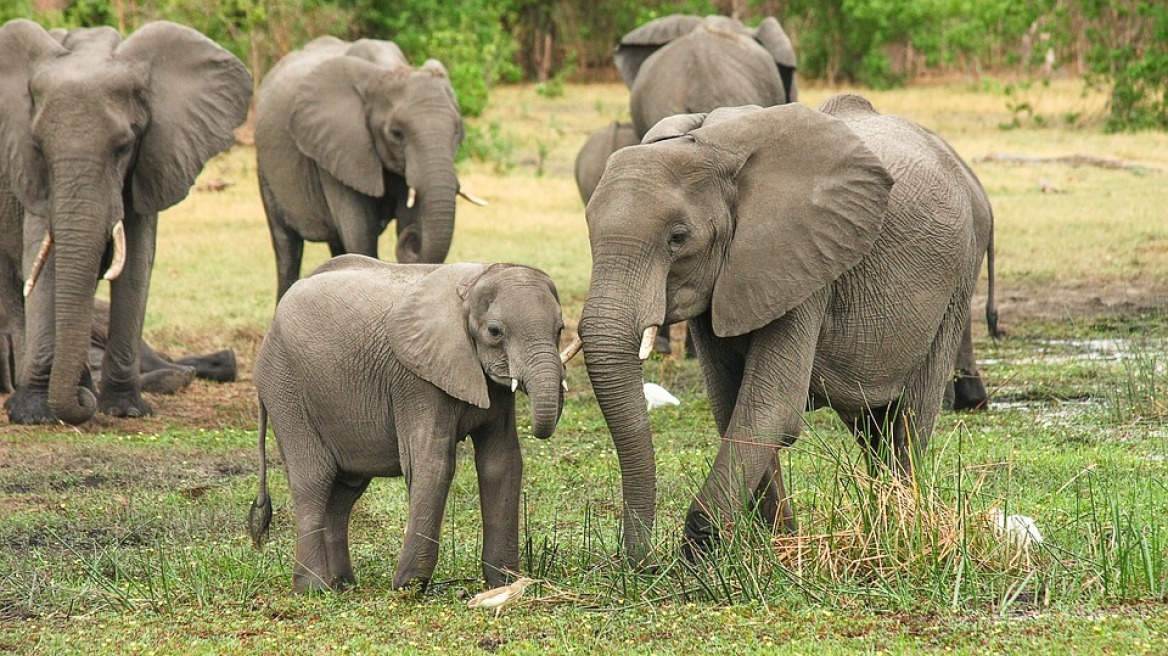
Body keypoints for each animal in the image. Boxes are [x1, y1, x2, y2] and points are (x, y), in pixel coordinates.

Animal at [0, 19, 253, 424]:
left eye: (123, 147)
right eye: (38, 147)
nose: (81, 404)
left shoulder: (152, 158)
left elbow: (136, 264)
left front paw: (125, 410)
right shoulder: (29, 175)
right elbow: (44, 261)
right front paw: (34, 414)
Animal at [248, 255, 567, 592]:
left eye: (560, 329)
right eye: (495, 331)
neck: (475, 280)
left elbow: (501, 463)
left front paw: (504, 584)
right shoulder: (416, 380)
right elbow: (433, 464)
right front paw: (408, 587)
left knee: (344, 491)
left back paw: (343, 585)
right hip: (285, 386)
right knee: (314, 479)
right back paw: (314, 589)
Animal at [256, 35, 483, 298]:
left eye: (457, 131)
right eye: (396, 134)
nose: (412, 238)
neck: (387, 70)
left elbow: (404, 218)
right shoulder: (340, 148)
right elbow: (359, 234)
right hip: (265, 168)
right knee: (287, 248)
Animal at [574, 95, 985, 562]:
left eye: (677, 238)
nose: (642, 563)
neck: (710, 148)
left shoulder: (804, 261)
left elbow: (770, 408)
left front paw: (701, 554)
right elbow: (732, 405)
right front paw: (776, 545)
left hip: (958, 280)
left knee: (909, 417)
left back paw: (900, 528)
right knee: (871, 426)